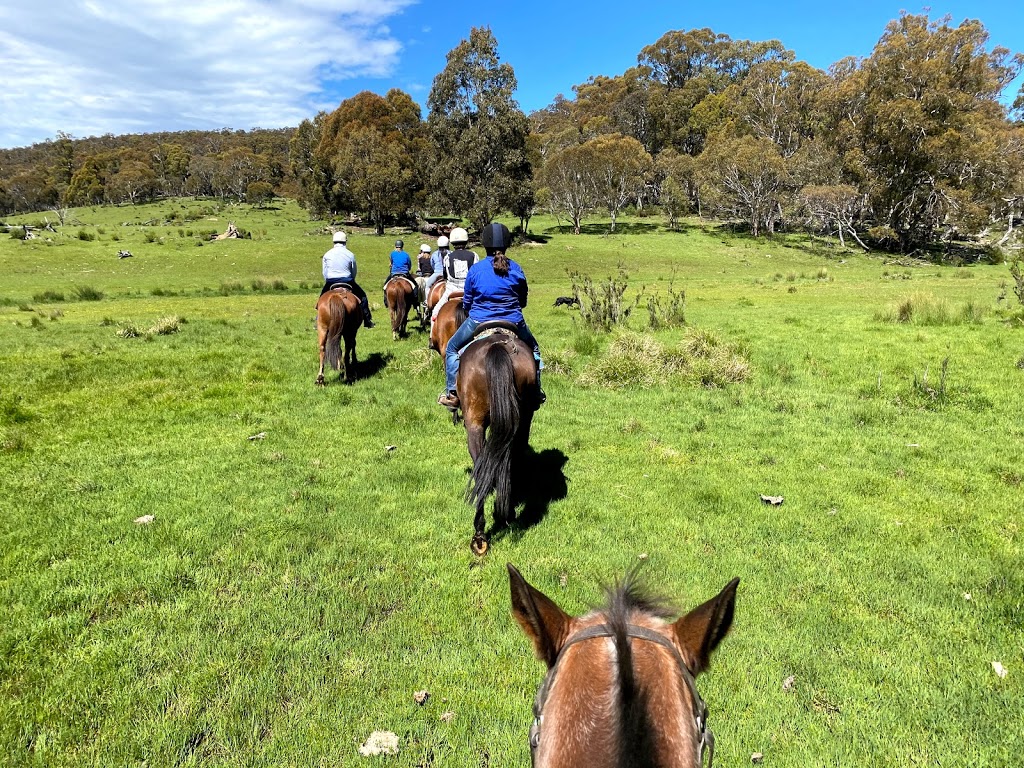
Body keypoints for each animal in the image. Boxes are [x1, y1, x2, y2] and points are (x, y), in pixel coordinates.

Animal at [456, 327, 540, 557]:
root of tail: (497, 346)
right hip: (522, 419)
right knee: (510, 459)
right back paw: (506, 513)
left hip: (474, 424)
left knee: (480, 468)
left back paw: (479, 535)